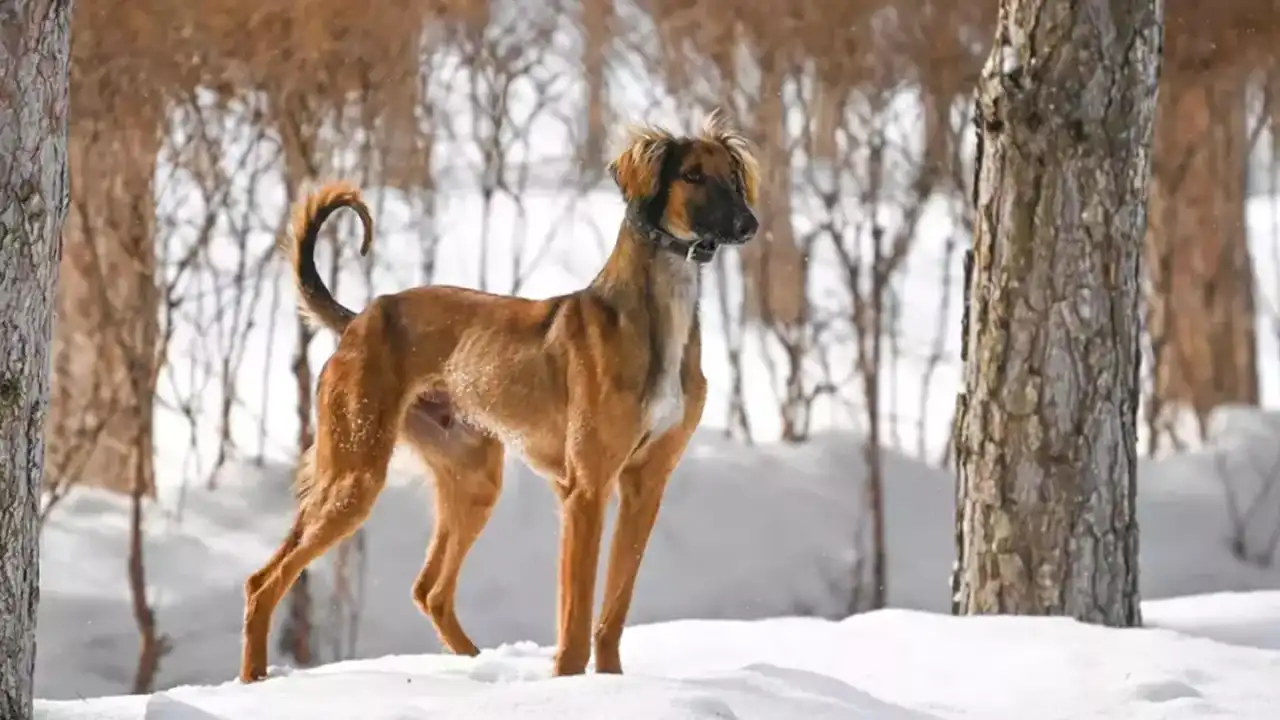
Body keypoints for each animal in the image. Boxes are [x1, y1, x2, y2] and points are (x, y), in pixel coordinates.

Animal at [240, 109, 757, 681]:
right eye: (692, 175)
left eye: (733, 177)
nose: (748, 225)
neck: (655, 318)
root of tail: (360, 319)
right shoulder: (587, 489)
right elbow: (576, 618)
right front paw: (568, 683)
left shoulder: (645, 486)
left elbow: (612, 612)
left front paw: (611, 683)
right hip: (354, 473)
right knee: (263, 582)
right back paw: (253, 680)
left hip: (472, 479)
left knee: (430, 591)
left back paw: (476, 668)